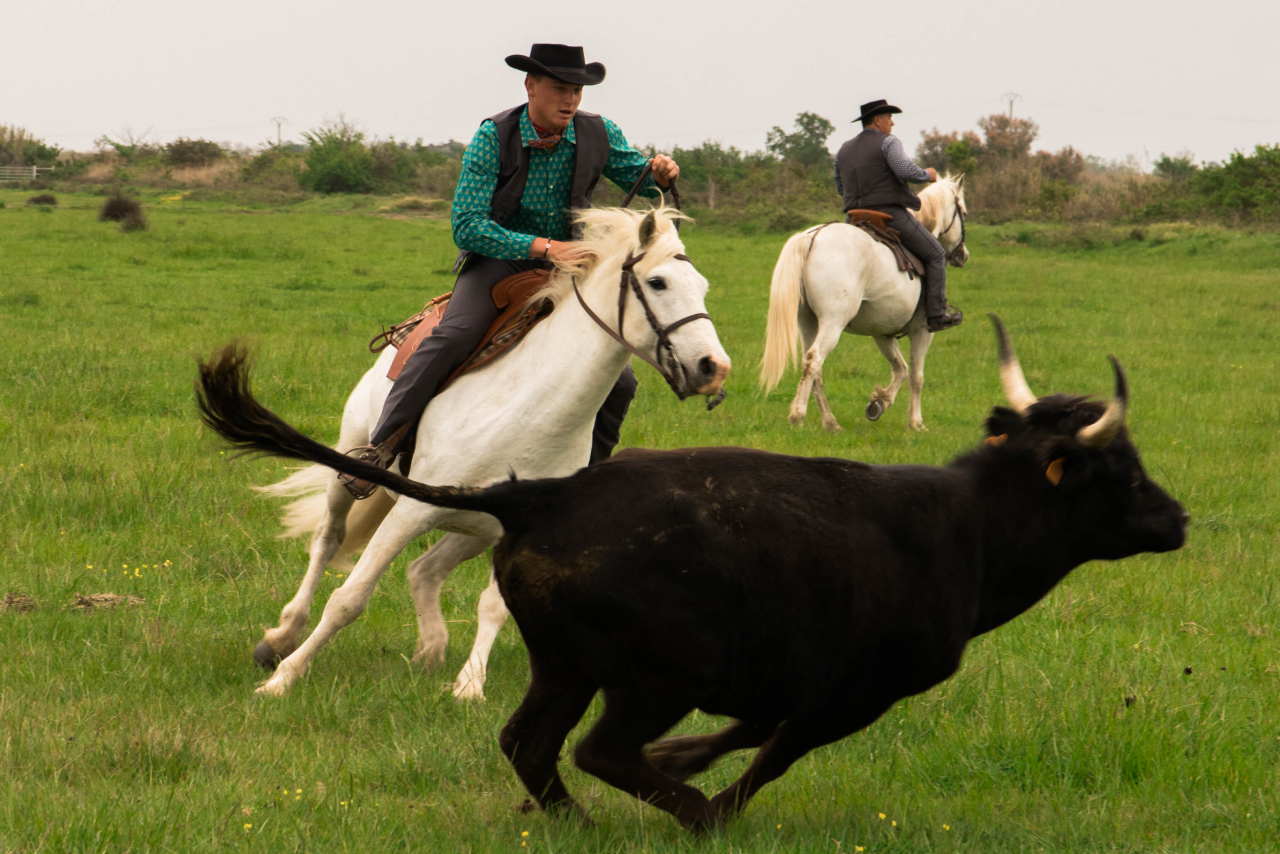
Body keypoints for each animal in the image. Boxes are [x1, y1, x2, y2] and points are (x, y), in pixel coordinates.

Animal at [197, 318, 1187, 829]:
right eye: (1121, 472)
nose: (1176, 519)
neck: (963, 527)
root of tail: (544, 497)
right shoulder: (855, 691)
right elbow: (774, 751)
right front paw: (713, 798)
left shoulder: (799, 676)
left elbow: (753, 728)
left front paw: (688, 764)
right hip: (654, 676)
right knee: (595, 748)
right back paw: (686, 814)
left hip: (566, 665)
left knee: (529, 741)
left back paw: (578, 820)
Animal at [240, 203, 732, 696]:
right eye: (658, 282)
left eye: (703, 286)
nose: (715, 368)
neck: (528, 410)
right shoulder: (410, 514)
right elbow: (348, 599)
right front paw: (284, 678)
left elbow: (494, 606)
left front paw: (469, 685)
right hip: (353, 469)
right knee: (328, 540)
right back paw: (282, 637)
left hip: (469, 530)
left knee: (425, 570)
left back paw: (431, 650)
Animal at [757, 179, 967, 435]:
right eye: (963, 212)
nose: (963, 255)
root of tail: (814, 236)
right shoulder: (922, 331)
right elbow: (916, 375)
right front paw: (916, 423)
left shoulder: (882, 334)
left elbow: (901, 368)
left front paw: (880, 402)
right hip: (832, 323)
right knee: (815, 359)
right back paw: (798, 415)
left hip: (807, 322)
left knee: (813, 367)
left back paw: (830, 422)